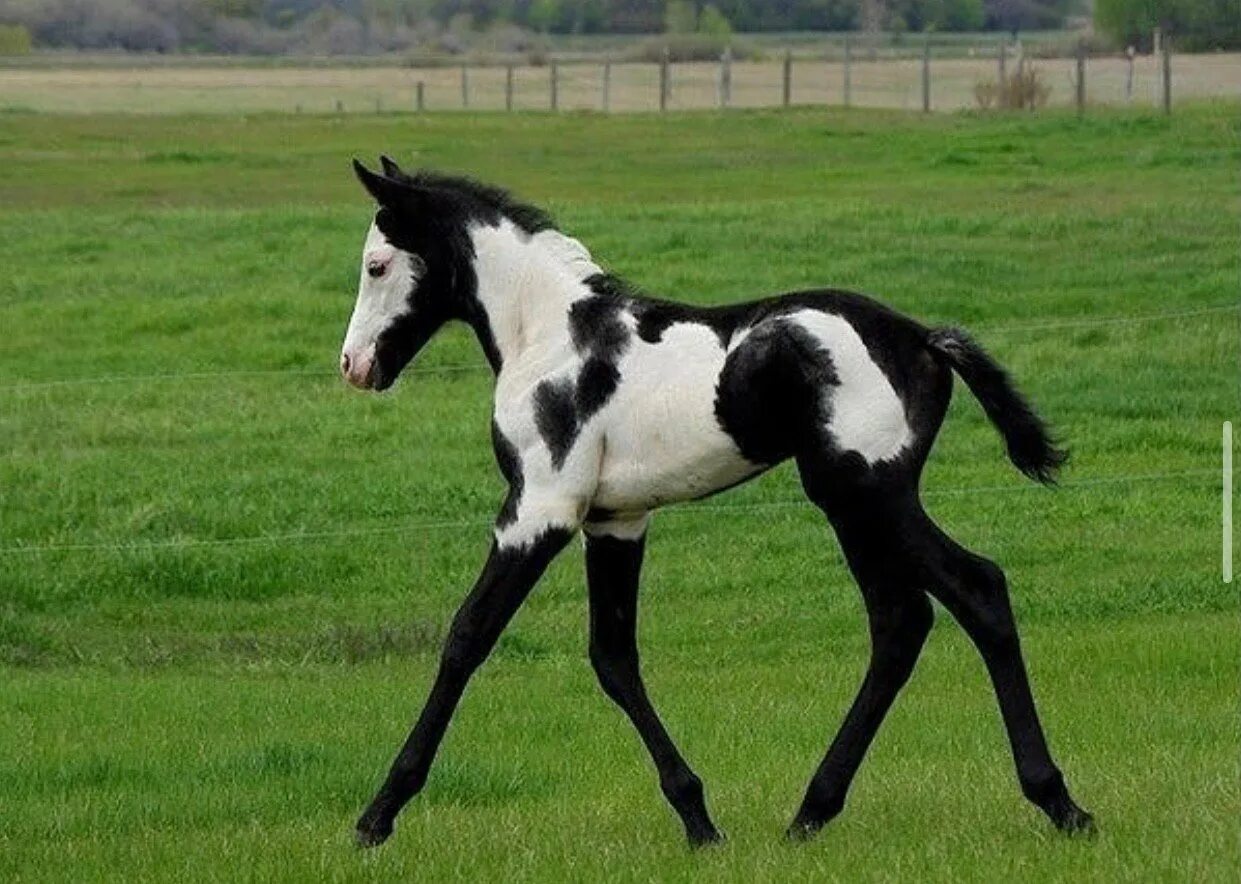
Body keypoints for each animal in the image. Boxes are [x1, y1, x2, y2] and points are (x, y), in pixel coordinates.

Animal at [342, 160, 1097, 849]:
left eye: (377, 264)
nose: (354, 366)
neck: (552, 340)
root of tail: (920, 338)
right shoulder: (615, 521)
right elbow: (613, 658)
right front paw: (698, 819)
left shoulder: (539, 511)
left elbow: (467, 638)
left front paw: (378, 816)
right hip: (854, 507)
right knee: (900, 623)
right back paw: (811, 812)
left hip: (868, 495)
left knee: (976, 590)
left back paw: (1060, 804)